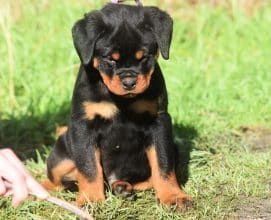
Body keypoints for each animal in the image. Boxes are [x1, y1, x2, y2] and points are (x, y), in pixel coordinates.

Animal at [42, 3, 192, 210]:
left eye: (143, 57)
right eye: (110, 59)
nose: (129, 82)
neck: (121, 100)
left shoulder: (159, 122)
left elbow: (163, 164)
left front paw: (173, 196)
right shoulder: (84, 125)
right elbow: (89, 167)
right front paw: (90, 200)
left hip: (174, 148)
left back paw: (122, 187)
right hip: (61, 156)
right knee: (56, 178)